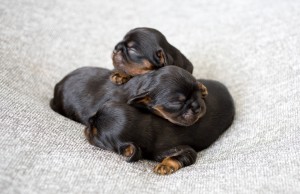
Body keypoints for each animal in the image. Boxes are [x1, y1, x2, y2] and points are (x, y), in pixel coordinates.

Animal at [84, 79, 234, 175]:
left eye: (95, 134)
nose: (88, 122)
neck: (144, 124)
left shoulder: (182, 150)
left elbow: (181, 155)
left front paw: (164, 166)